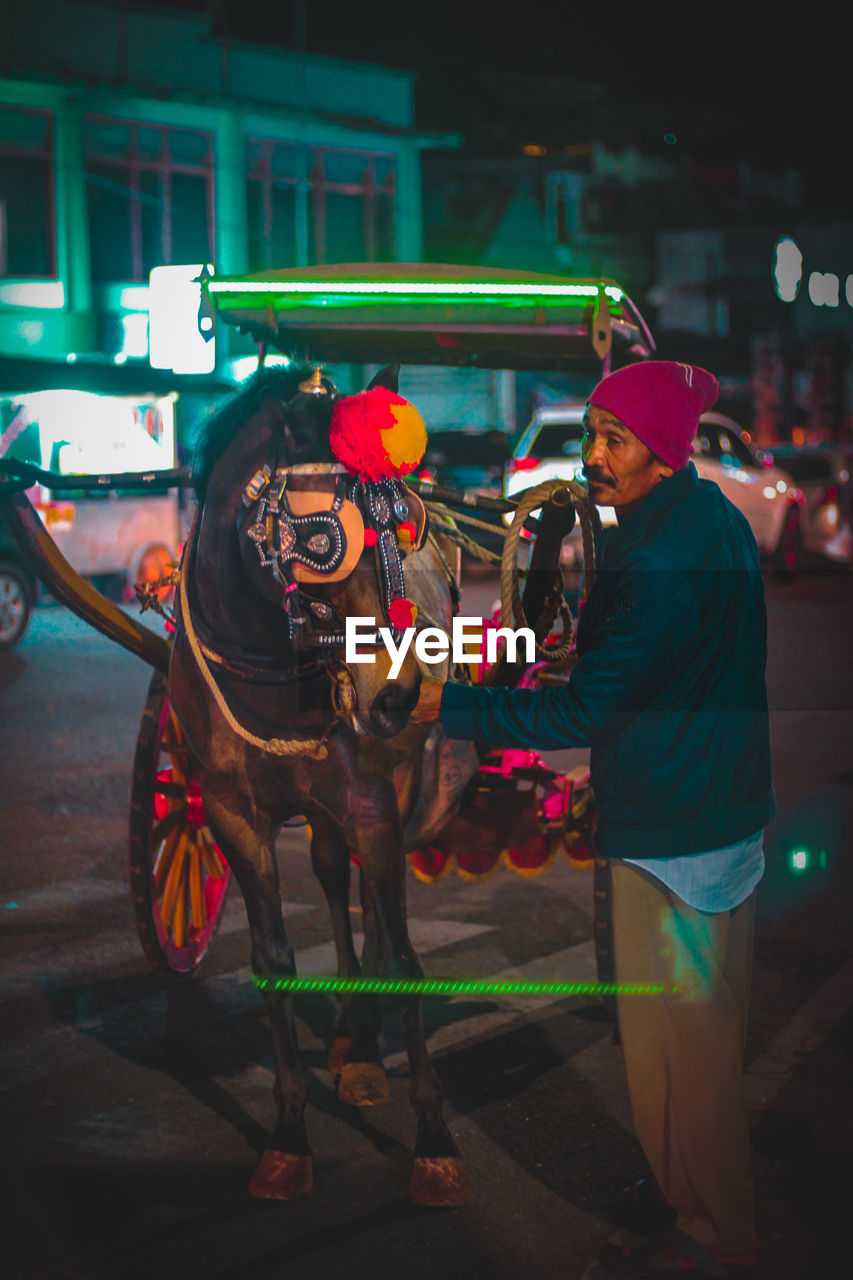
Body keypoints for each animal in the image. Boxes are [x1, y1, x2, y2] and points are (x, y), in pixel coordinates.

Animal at [169, 366, 479, 1203]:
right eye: (321, 541)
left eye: (401, 526)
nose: (397, 693)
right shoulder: (232, 815)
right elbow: (274, 959)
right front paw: (287, 1138)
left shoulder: (369, 799)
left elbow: (402, 956)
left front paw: (435, 1143)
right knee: (336, 879)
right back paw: (353, 1038)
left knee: (368, 888)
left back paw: (365, 1048)